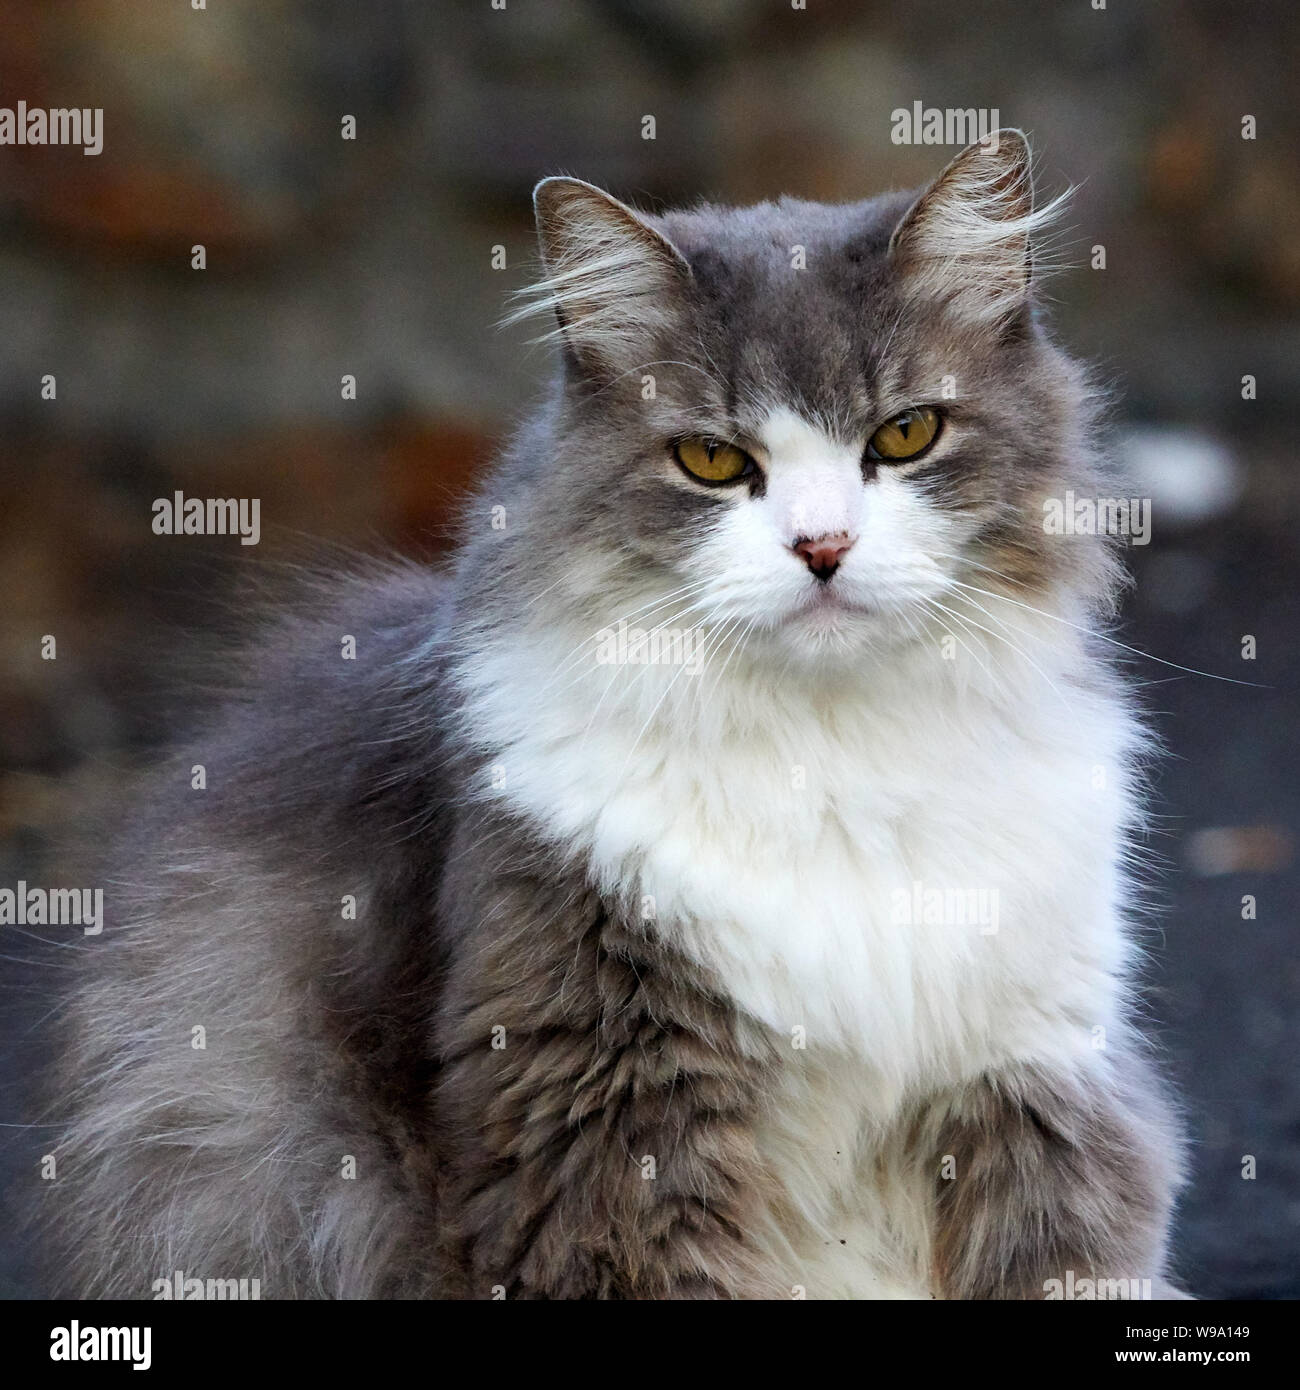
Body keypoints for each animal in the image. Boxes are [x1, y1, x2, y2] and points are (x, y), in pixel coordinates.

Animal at [40, 130, 1190, 1301]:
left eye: (907, 433)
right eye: (714, 460)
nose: (822, 546)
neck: (830, 761)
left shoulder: (1036, 1077)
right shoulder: (604, 1117)